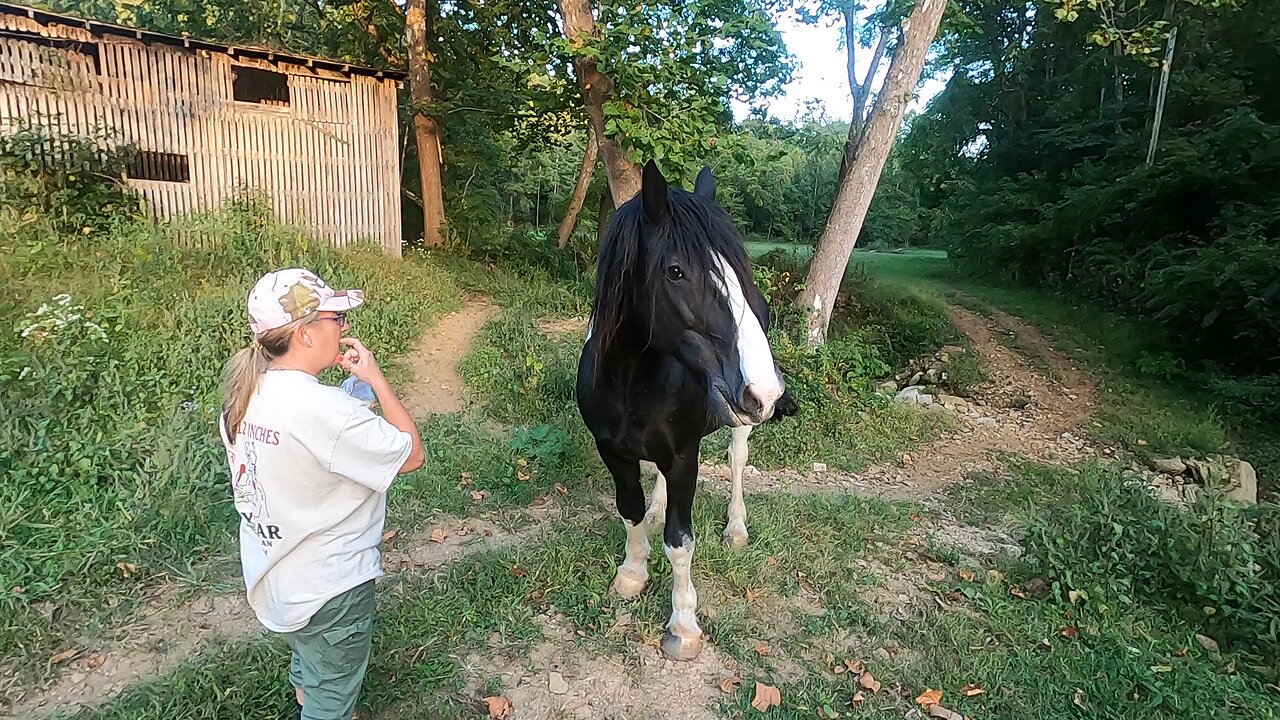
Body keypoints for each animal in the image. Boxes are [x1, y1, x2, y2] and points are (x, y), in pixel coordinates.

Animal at [578, 159, 793, 661]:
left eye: (738, 268)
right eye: (675, 271)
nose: (767, 391)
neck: (631, 383)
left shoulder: (683, 459)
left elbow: (680, 543)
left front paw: (683, 625)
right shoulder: (613, 452)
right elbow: (630, 510)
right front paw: (632, 573)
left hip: (740, 423)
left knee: (737, 460)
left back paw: (736, 528)